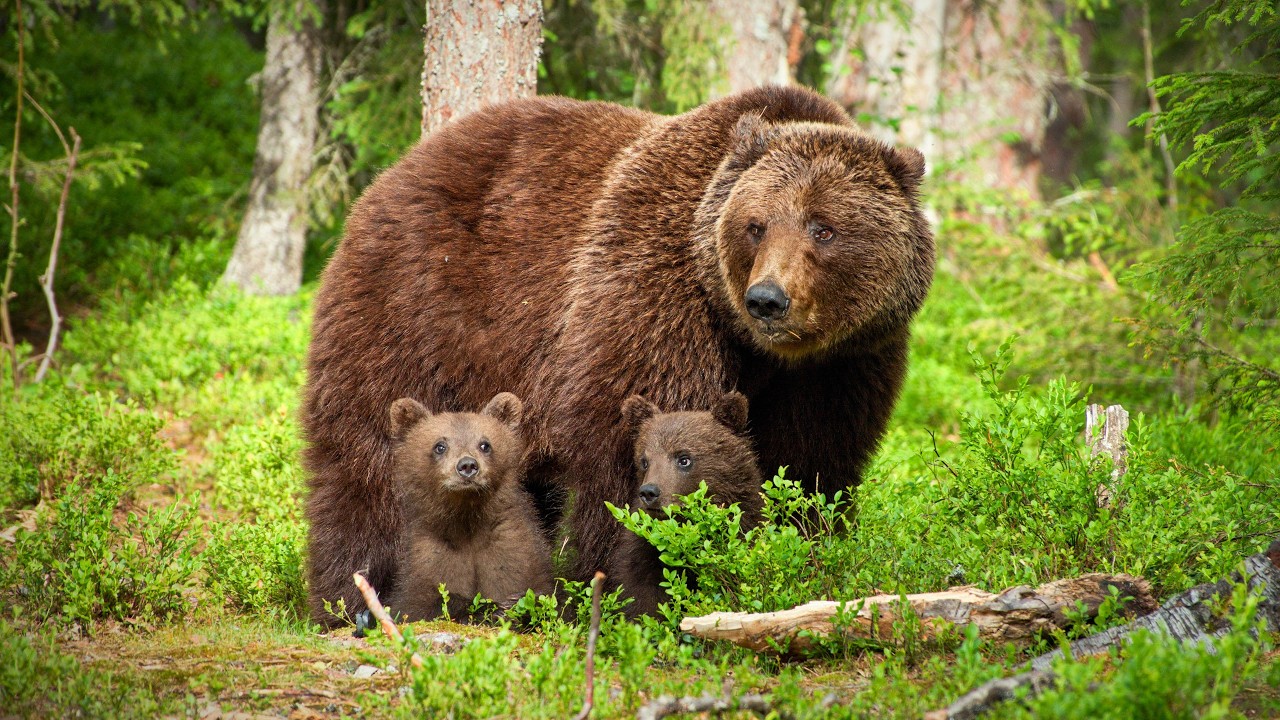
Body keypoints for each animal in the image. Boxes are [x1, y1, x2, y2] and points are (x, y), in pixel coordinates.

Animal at [385, 392, 554, 622]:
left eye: (485, 444)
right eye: (440, 445)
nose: (467, 466)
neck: (467, 522)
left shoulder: (515, 552)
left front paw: (510, 605)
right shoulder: (429, 557)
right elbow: (416, 604)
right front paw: (488, 608)